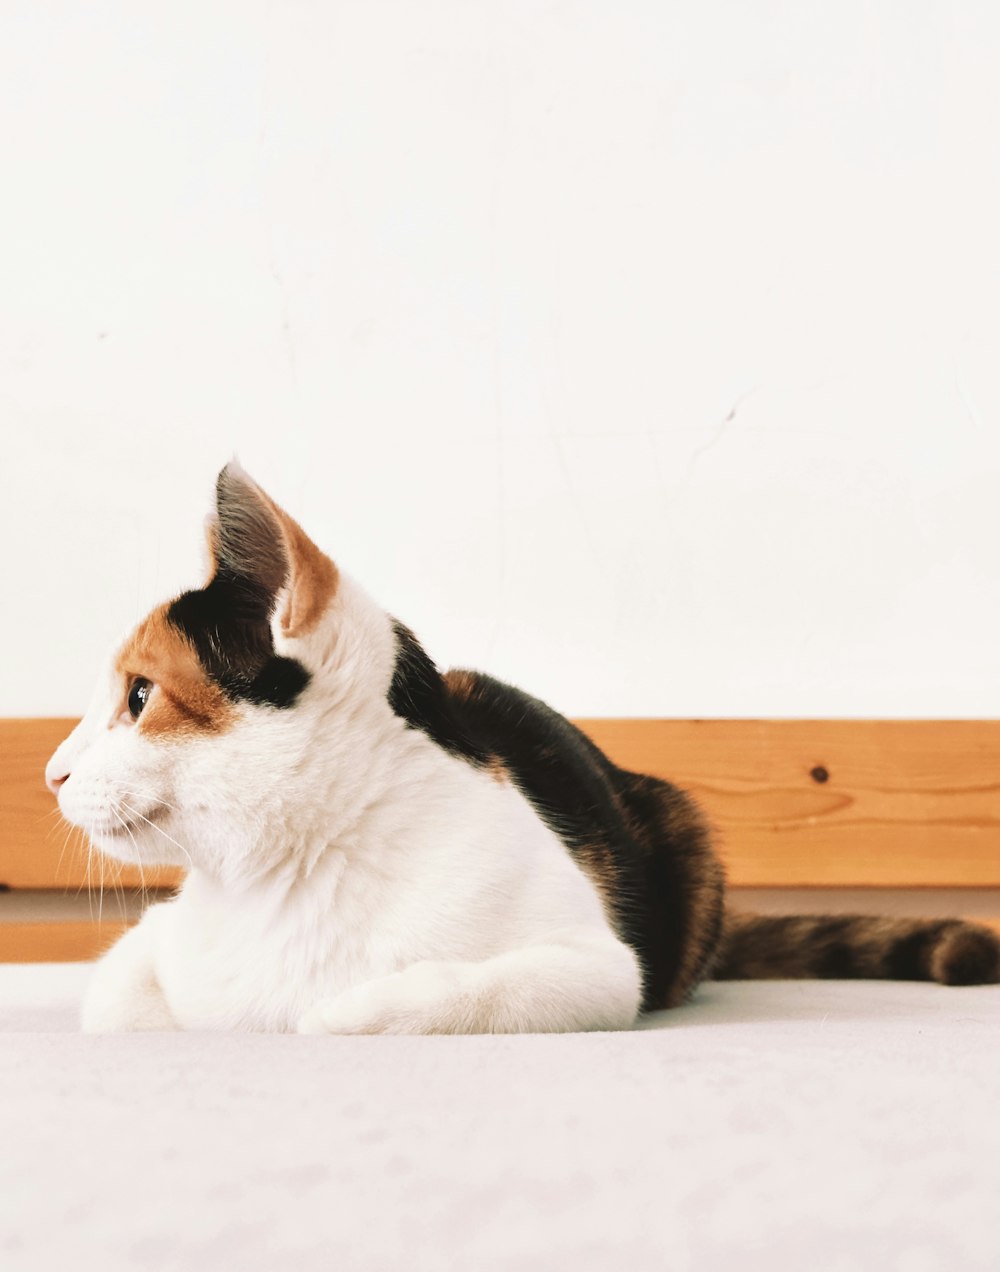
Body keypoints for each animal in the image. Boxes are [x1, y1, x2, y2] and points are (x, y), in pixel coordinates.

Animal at [46, 468, 997, 1032]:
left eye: (138, 698)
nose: (51, 772)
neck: (289, 878)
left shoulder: (597, 970)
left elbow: (465, 990)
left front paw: (337, 1012)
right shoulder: (154, 944)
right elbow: (114, 999)